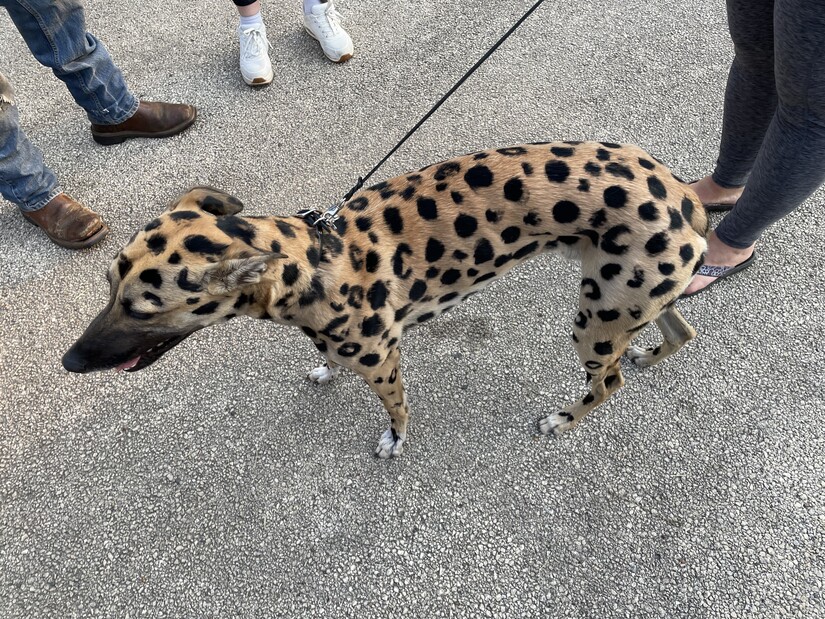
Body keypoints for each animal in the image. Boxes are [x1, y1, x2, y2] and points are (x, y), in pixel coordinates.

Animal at [64, 143, 708, 458]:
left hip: (595, 321)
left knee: (608, 383)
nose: (69, 362)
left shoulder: (385, 363)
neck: (315, 256)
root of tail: (684, 195)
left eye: (144, 308)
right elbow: (326, 358)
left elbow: (396, 411)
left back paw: (564, 417)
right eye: (108, 284)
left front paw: (394, 440)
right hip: (631, 298)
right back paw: (651, 354)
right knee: (682, 331)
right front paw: (325, 367)